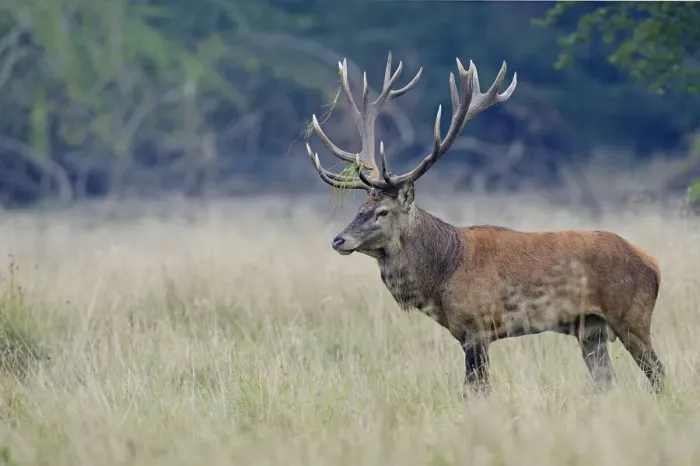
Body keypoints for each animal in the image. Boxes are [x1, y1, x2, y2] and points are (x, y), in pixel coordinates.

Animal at [303, 52, 666, 395]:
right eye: (360, 207)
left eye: (382, 212)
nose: (339, 240)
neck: (442, 273)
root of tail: (653, 263)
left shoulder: (476, 327)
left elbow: (477, 390)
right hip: (590, 328)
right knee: (607, 382)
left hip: (631, 316)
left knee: (658, 372)